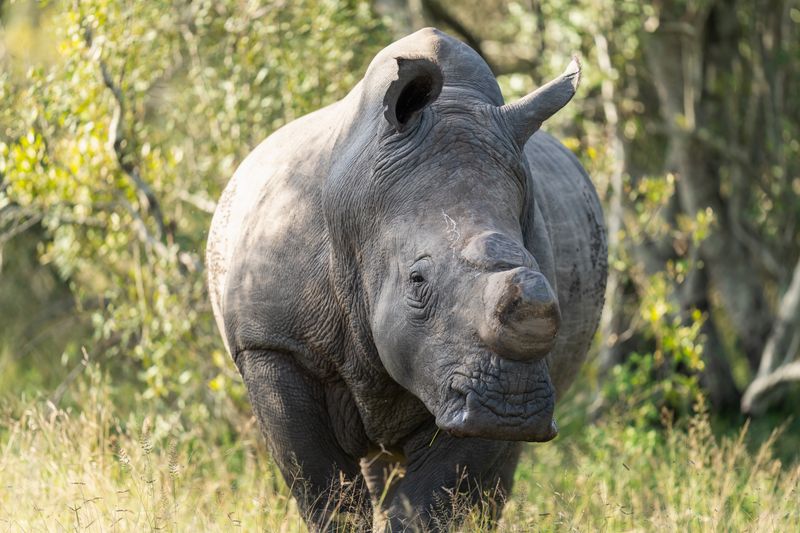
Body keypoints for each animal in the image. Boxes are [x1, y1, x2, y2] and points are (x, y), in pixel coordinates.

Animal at [207, 28, 607, 531]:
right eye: (417, 281)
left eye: (546, 281)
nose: (511, 406)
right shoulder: (272, 344)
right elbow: (322, 487)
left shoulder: (462, 377)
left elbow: (433, 499)